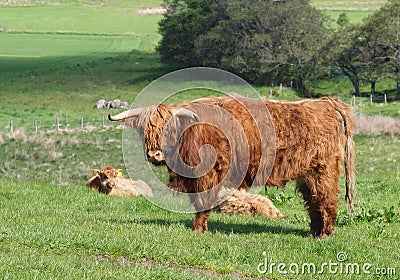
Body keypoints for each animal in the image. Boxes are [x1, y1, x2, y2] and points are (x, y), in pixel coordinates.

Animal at [108, 95, 354, 237]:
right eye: (144, 130)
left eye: (168, 129)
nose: (154, 154)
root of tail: (326, 102)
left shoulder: (207, 174)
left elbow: (202, 202)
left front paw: (198, 229)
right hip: (307, 173)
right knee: (313, 200)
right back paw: (313, 233)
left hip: (324, 168)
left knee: (327, 198)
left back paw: (325, 234)